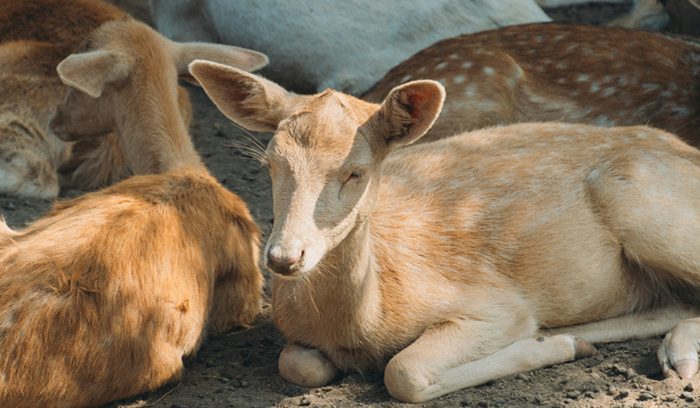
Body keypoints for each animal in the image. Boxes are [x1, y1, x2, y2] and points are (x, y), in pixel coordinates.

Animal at [190, 60, 700, 403]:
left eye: (356, 171)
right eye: (269, 164)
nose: (284, 257)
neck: (364, 320)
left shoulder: (496, 303)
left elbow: (404, 372)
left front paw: (549, 344)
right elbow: (297, 362)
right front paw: (563, 341)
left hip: (646, 208)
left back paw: (671, 357)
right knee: (674, 301)